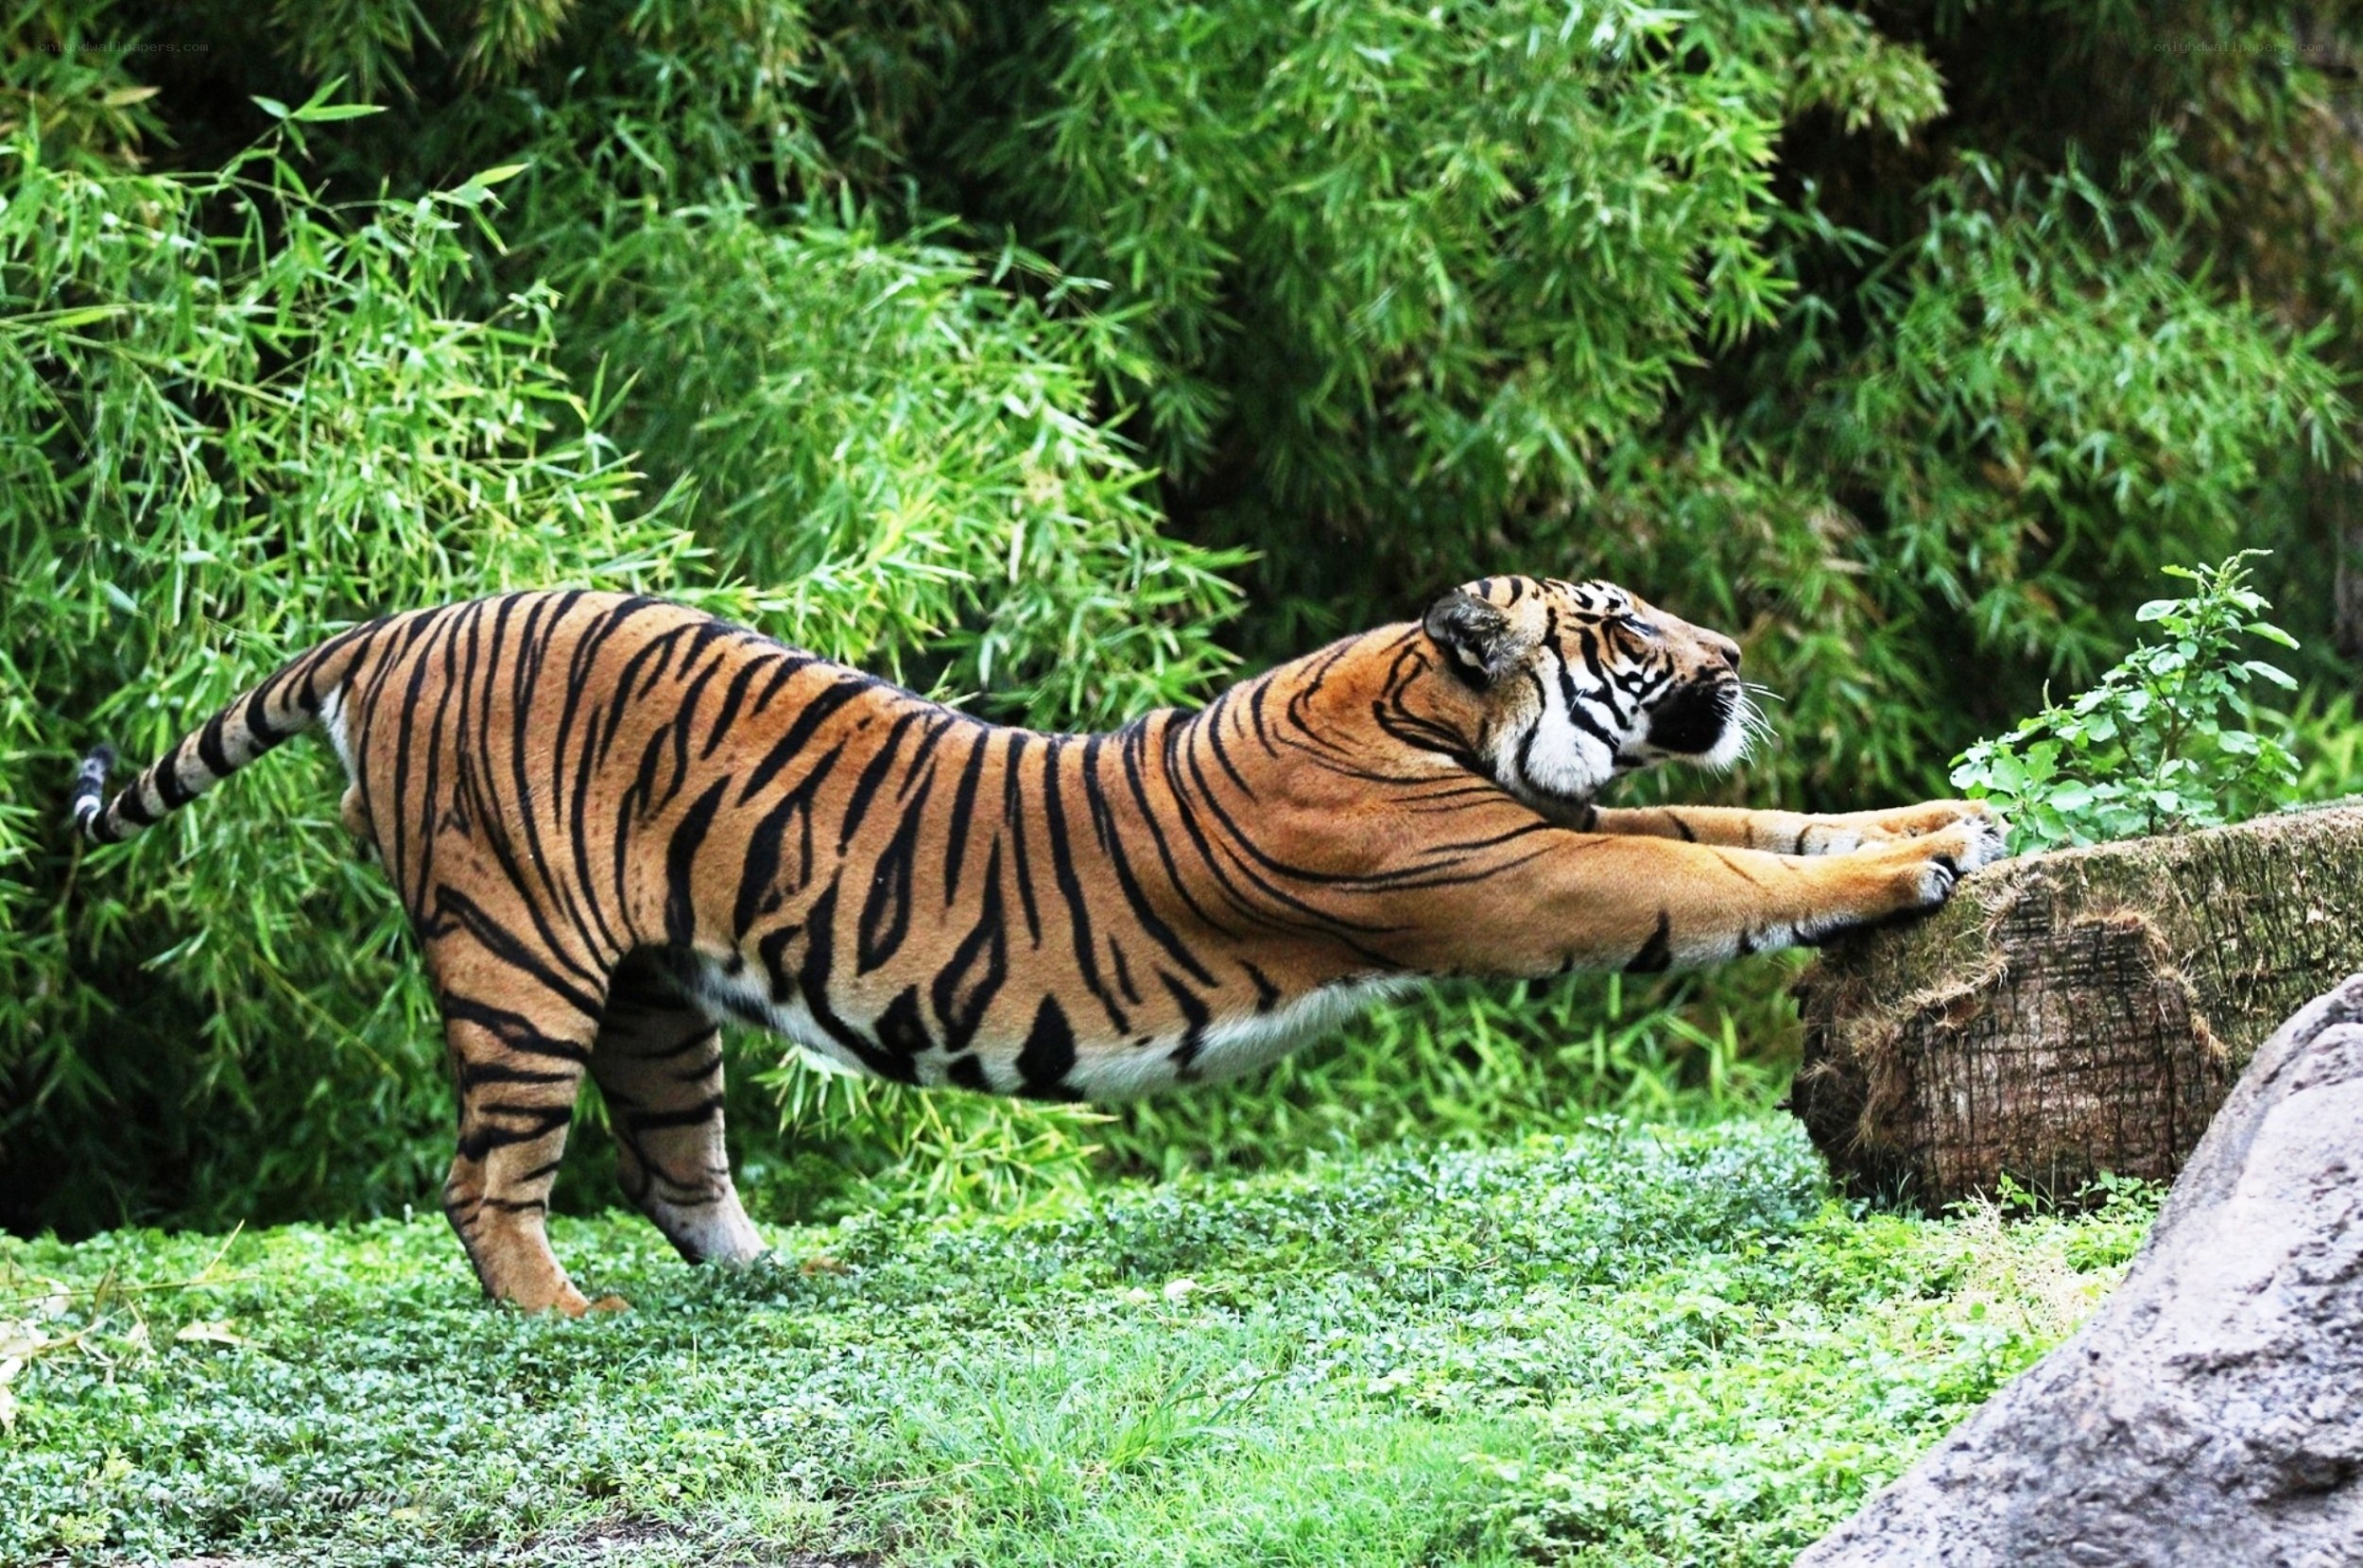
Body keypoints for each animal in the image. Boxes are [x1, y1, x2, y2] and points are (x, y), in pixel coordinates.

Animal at [71, 576, 2004, 1314]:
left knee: (678, 1164)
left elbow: (1756, 829)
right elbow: (1717, 879)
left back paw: (783, 1275)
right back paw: (562, 1311)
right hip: (521, 960)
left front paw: (1945, 815)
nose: (1736, 652)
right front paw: (1915, 864)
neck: (1422, 709)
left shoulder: (1561, 830)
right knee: (488, 1177)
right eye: (1623, 627)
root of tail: (393, 624)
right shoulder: (1526, 875)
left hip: (655, 993)